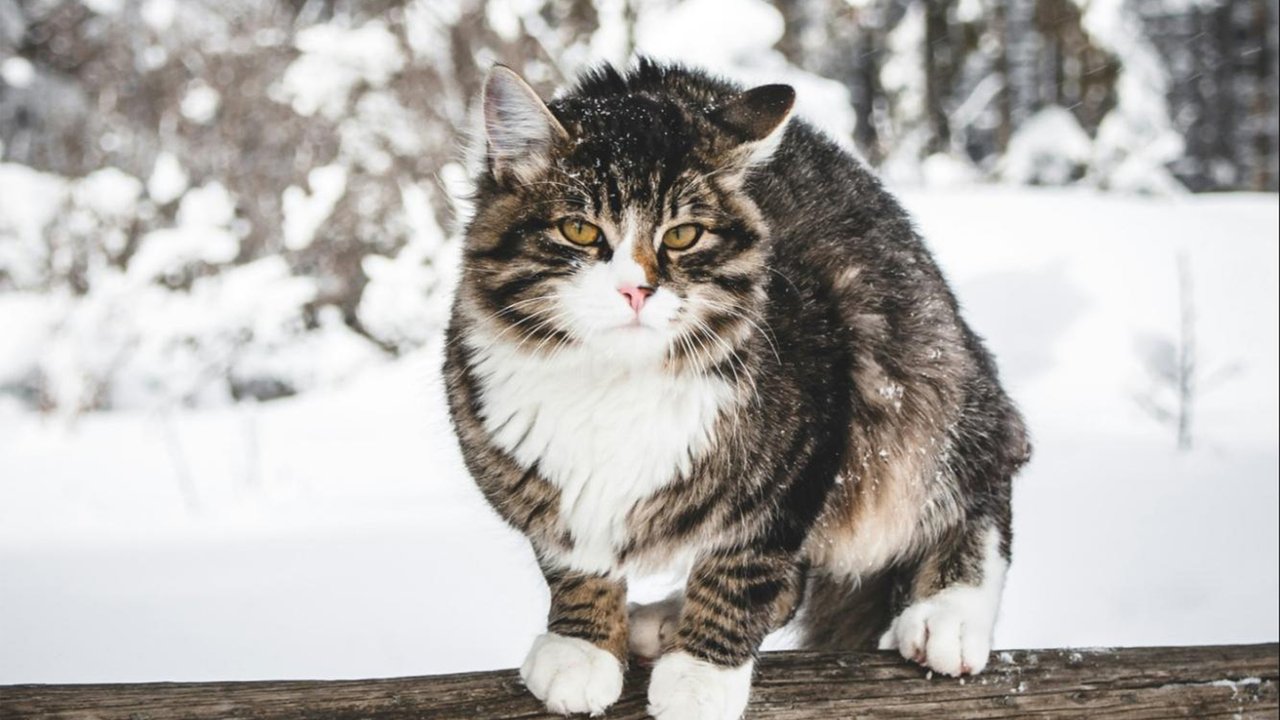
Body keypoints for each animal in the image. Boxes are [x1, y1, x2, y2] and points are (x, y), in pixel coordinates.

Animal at [440, 61, 1029, 717]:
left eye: (682, 236)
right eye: (579, 230)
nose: (637, 290)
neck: (614, 380)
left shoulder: (807, 448)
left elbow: (743, 573)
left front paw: (701, 677)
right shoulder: (531, 476)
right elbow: (570, 560)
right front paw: (582, 645)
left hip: (918, 387)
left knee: (979, 484)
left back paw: (949, 613)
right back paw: (664, 618)